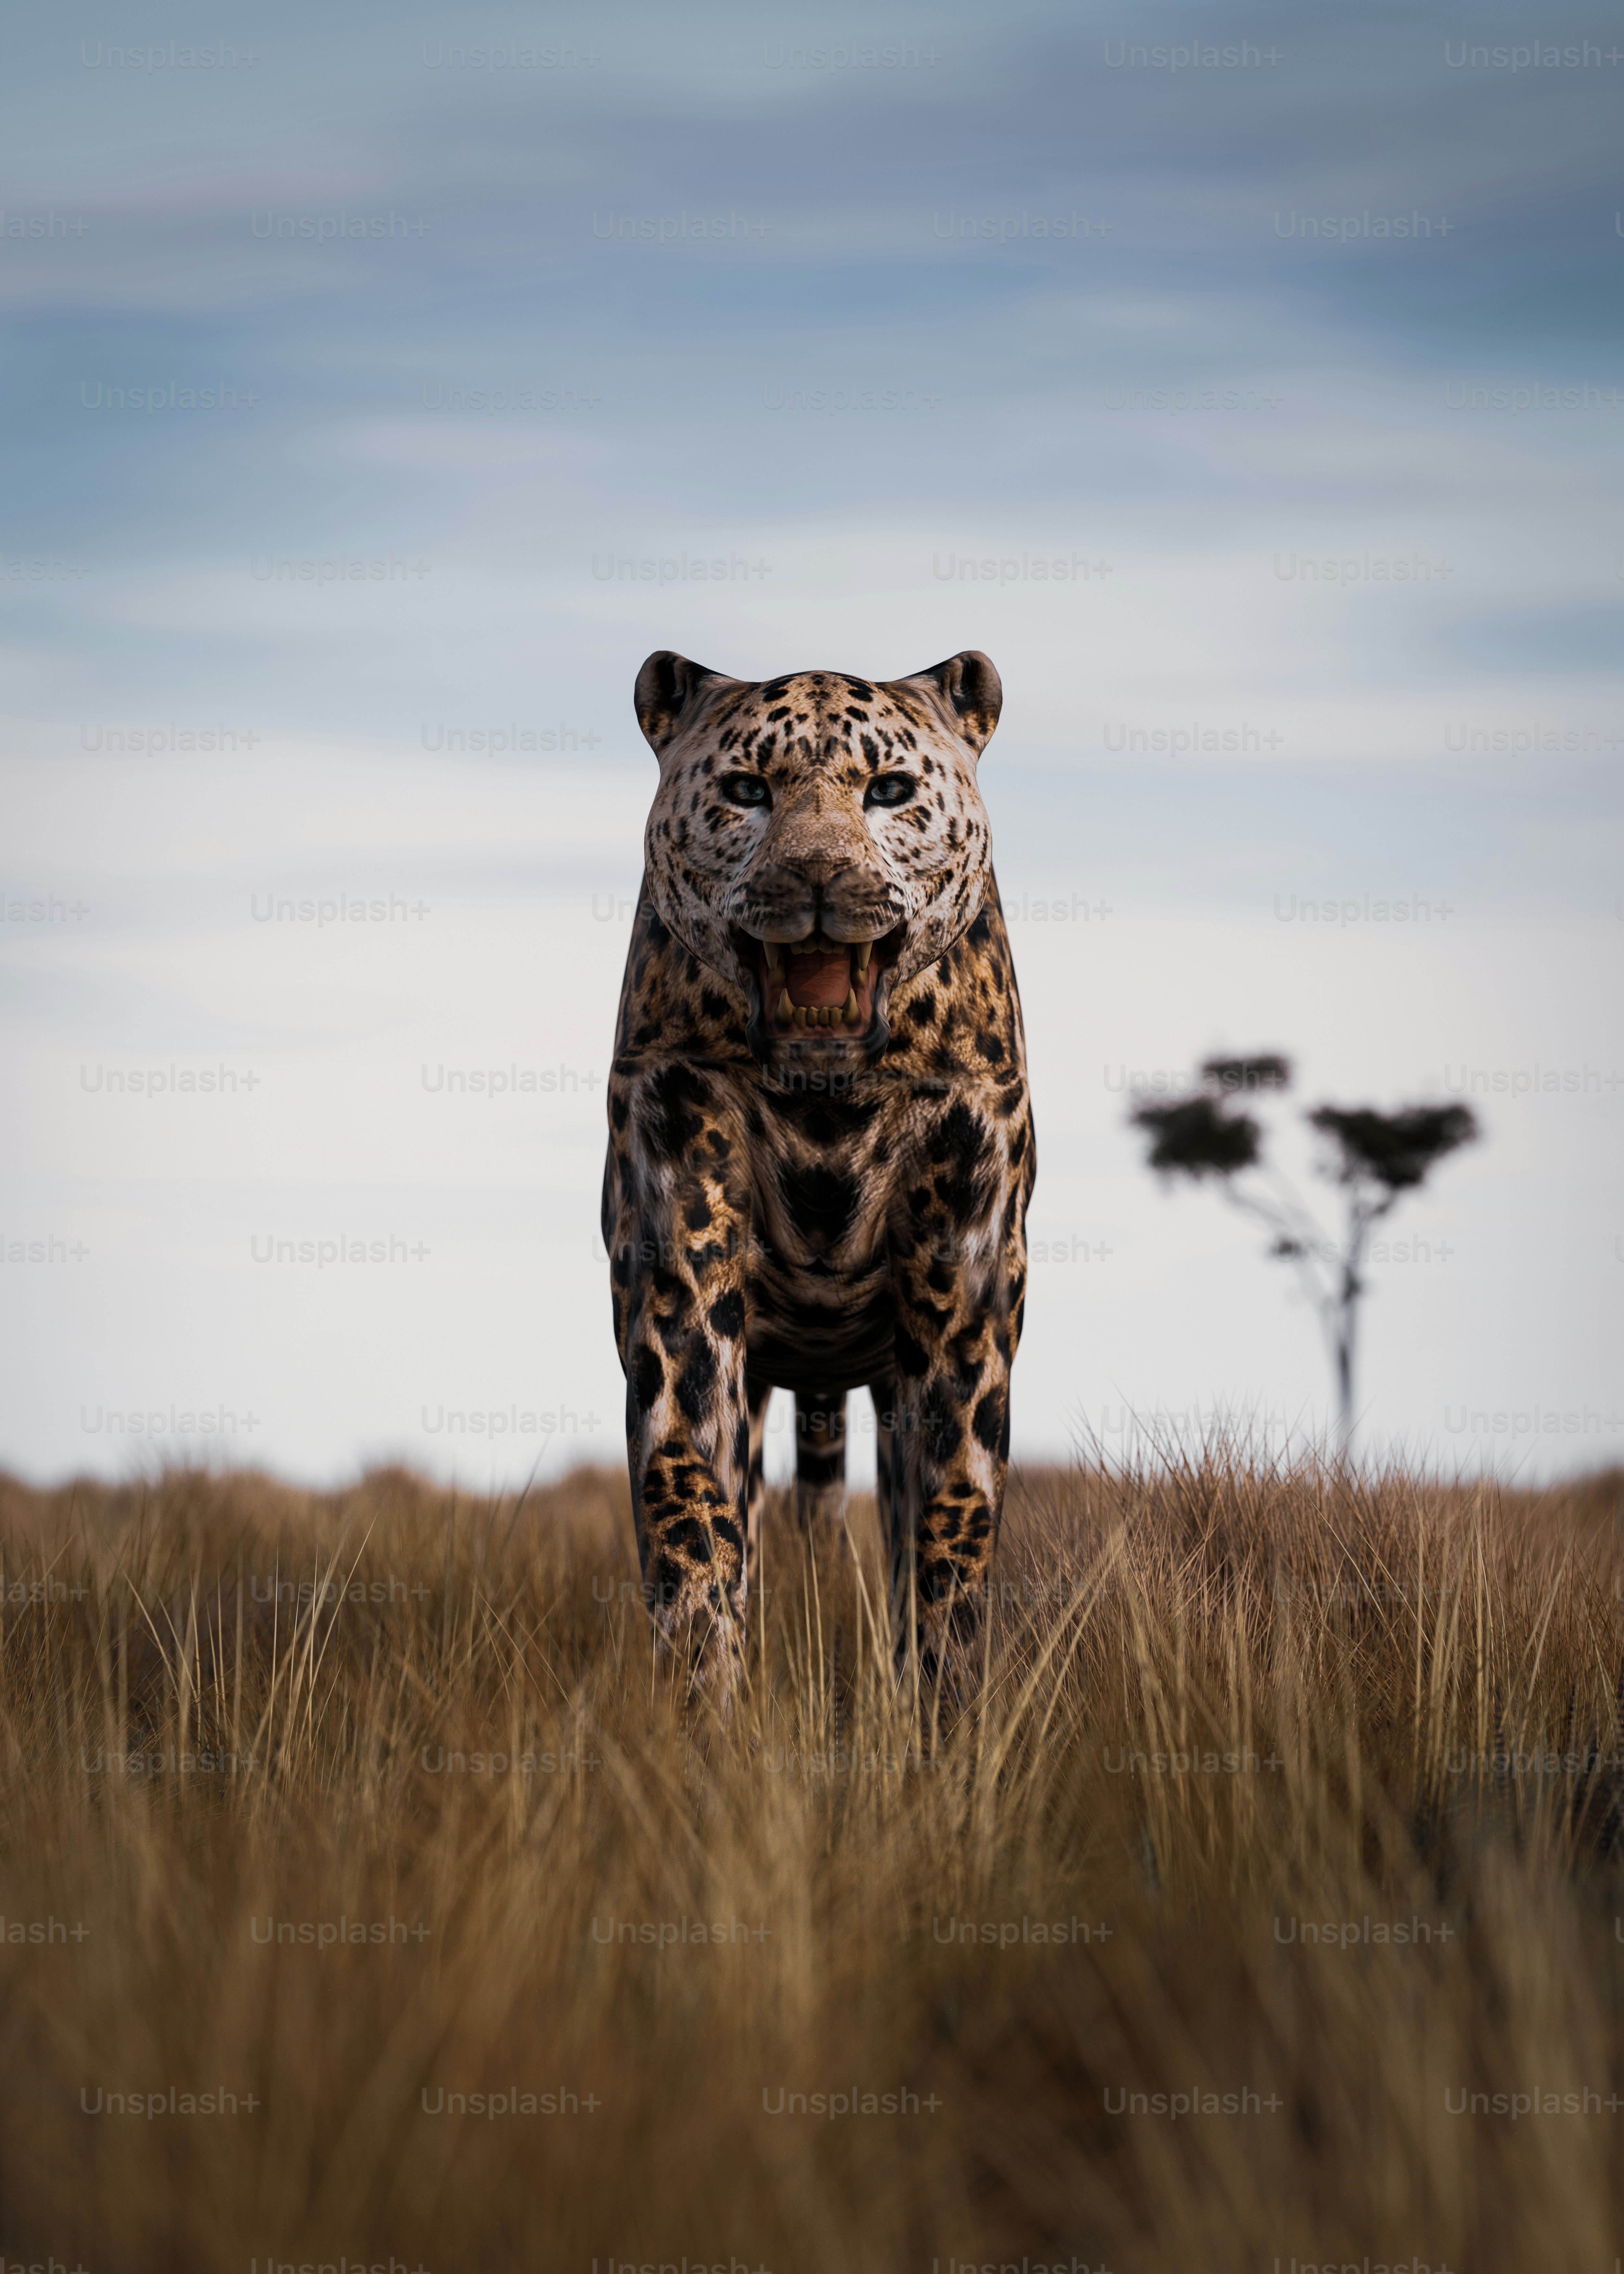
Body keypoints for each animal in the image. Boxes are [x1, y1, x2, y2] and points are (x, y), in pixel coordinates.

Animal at [600, 647, 1035, 1698]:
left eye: (888, 790)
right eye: (747, 790)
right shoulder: (678, 1280)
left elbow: (951, 1517)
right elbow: (686, 1497)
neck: (825, 1114)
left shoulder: (963, 1301)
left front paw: (942, 1702)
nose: (817, 877)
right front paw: (704, 1691)